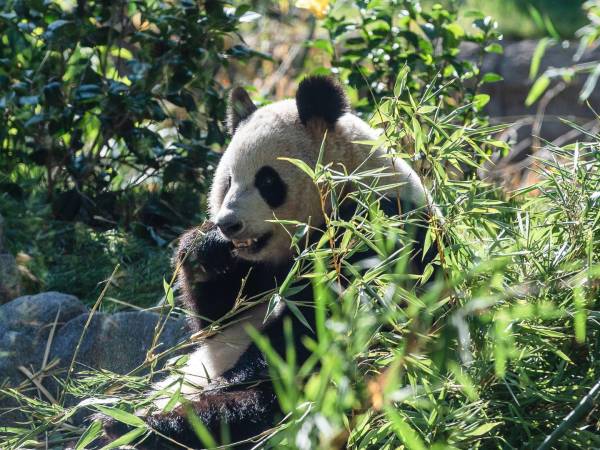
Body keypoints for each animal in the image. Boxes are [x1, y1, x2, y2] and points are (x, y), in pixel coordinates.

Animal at [101, 75, 438, 448]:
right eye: (227, 181)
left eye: (266, 181)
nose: (228, 224)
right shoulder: (256, 271)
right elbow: (217, 319)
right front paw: (205, 249)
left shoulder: (376, 233)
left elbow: (313, 330)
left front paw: (228, 381)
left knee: (253, 411)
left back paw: (146, 427)